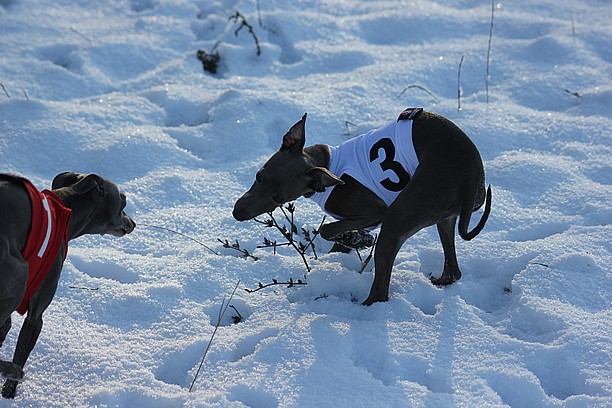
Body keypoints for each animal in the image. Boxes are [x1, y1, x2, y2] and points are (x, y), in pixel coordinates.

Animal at [0, 172, 135, 398]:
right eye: (123, 200)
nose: (132, 223)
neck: (66, 208)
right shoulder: (36, 316)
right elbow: (21, 350)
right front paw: (9, 391)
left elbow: (5, 328)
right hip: (18, 273)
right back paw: (12, 370)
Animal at [234, 109, 492, 306]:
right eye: (258, 176)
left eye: (278, 198)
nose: (237, 213)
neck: (326, 166)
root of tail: (471, 174)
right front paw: (354, 239)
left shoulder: (378, 211)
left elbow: (327, 229)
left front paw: (356, 239)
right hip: (444, 217)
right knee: (453, 271)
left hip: (399, 217)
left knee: (380, 293)